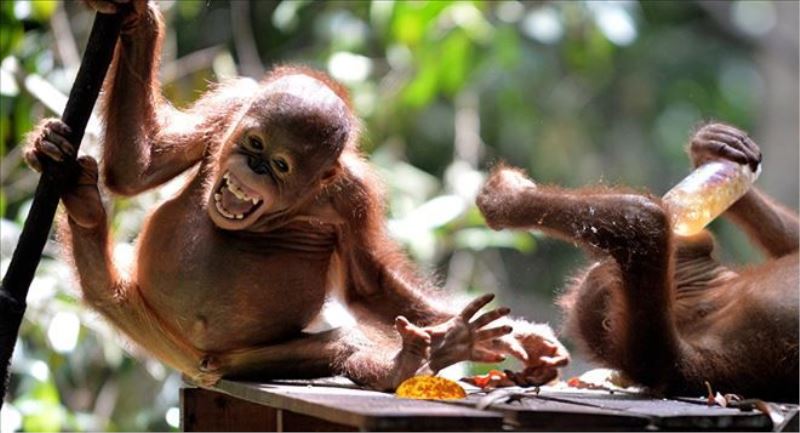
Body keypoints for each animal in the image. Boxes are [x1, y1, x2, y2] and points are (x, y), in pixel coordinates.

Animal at [23, 0, 569, 391]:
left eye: (281, 165)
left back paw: (416, 358)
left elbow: (370, 287)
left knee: (344, 344)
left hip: (250, 361)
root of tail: (191, 360)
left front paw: (523, 336)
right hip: (137, 313)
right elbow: (137, 169)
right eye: (254, 143)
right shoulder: (230, 108)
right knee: (101, 286)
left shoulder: (355, 198)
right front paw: (138, 17)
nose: (254, 166)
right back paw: (82, 201)